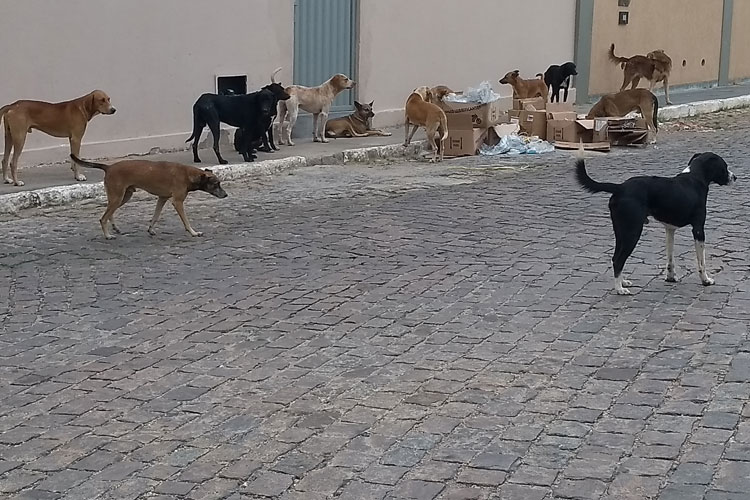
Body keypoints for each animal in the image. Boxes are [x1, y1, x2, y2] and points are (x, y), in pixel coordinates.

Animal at [70, 154, 226, 240]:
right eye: (216, 184)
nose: (226, 194)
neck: (188, 175)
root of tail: (108, 167)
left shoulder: (162, 198)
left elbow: (155, 216)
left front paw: (150, 229)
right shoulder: (177, 202)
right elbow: (186, 221)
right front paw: (193, 232)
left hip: (123, 196)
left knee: (109, 213)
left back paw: (114, 227)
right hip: (118, 197)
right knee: (103, 218)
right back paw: (108, 235)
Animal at [580, 150, 736, 294]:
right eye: (725, 166)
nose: (735, 177)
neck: (695, 177)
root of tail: (620, 187)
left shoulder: (670, 229)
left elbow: (670, 259)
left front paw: (671, 277)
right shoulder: (698, 229)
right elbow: (701, 261)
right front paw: (706, 280)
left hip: (621, 231)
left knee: (615, 258)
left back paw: (623, 282)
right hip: (632, 232)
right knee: (619, 260)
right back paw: (619, 289)